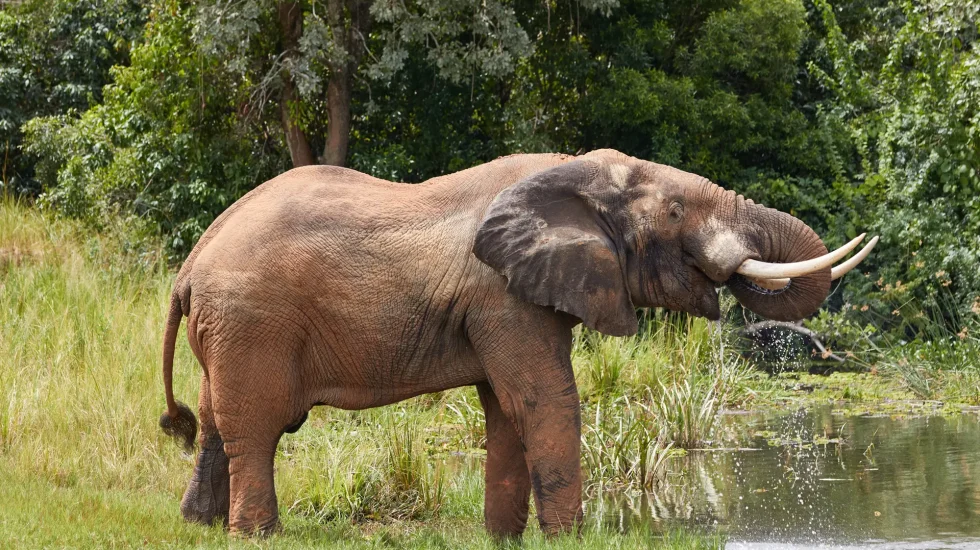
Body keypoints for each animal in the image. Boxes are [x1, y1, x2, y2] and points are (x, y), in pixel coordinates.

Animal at [158, 149, 875, 537]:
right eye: (675, 214)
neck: (572, 171)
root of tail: (191, 265)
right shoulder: (503, 296)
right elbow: (545, 400)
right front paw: (572, 539)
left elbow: (505, 412)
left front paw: (502, 538)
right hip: (252, 322)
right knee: (255, 425)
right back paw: (258, 534)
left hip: (228, 329)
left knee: (217, 418)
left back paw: (198, 524)